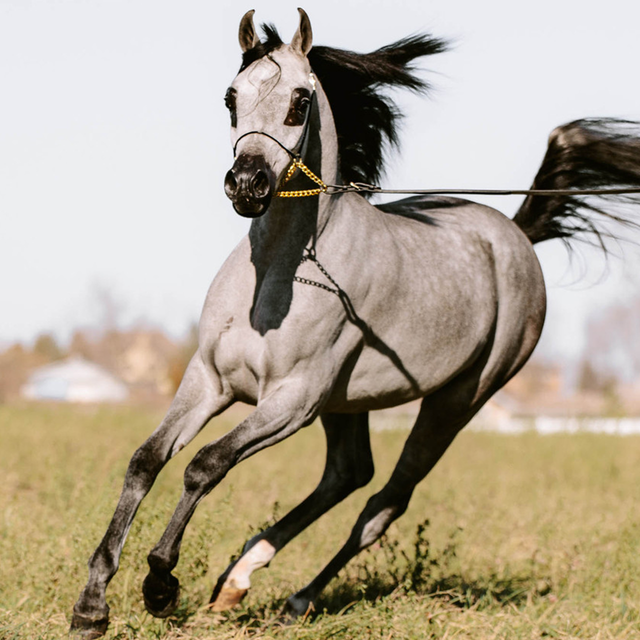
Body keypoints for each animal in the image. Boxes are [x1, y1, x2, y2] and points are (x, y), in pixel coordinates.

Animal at [69, 7, 640, 636]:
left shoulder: (291, 400)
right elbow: (147, 460)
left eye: (299, 101)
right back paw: (237, 580)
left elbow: (205, 464)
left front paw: (160, 584)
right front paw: (91, 606)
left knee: (383, 503)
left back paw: (297, 599)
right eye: (230, 97)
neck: (280, 277)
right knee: (349, 473)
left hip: (457, 401)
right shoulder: (210, 381)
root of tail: (515, 234)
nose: (247, 185)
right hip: (347, 404)